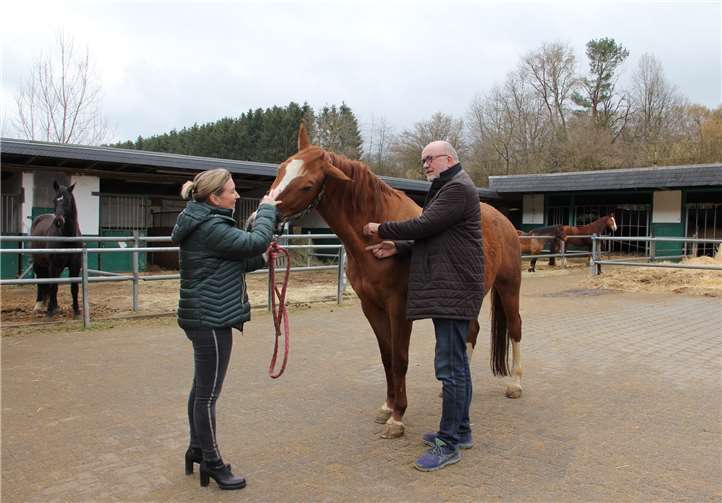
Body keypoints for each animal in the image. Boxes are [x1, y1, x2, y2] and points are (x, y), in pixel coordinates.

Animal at [30, 181, 82, 318]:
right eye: (54, 200)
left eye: (67, 200)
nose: (58, 221)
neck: (67, 237)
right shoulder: (54, 265)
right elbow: (53, 285)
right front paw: (49, 311)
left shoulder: (75, 265)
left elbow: (74, 287)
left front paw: (77, 310)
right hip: (39, 263)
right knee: (42, 281)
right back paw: (39, 305)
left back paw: (55, 306)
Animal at [268, 124, 522, 438]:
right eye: (280, 169)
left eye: (307, 184)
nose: (258, 216)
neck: (372, 240)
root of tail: (505, 221)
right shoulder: (371, 307)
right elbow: (386, 356)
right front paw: (387, 407)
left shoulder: (399, 308)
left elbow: (400, 358)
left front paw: (398, 417)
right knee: (471, 332)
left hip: (509, 287)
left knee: (515, 328)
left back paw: (515, 384)